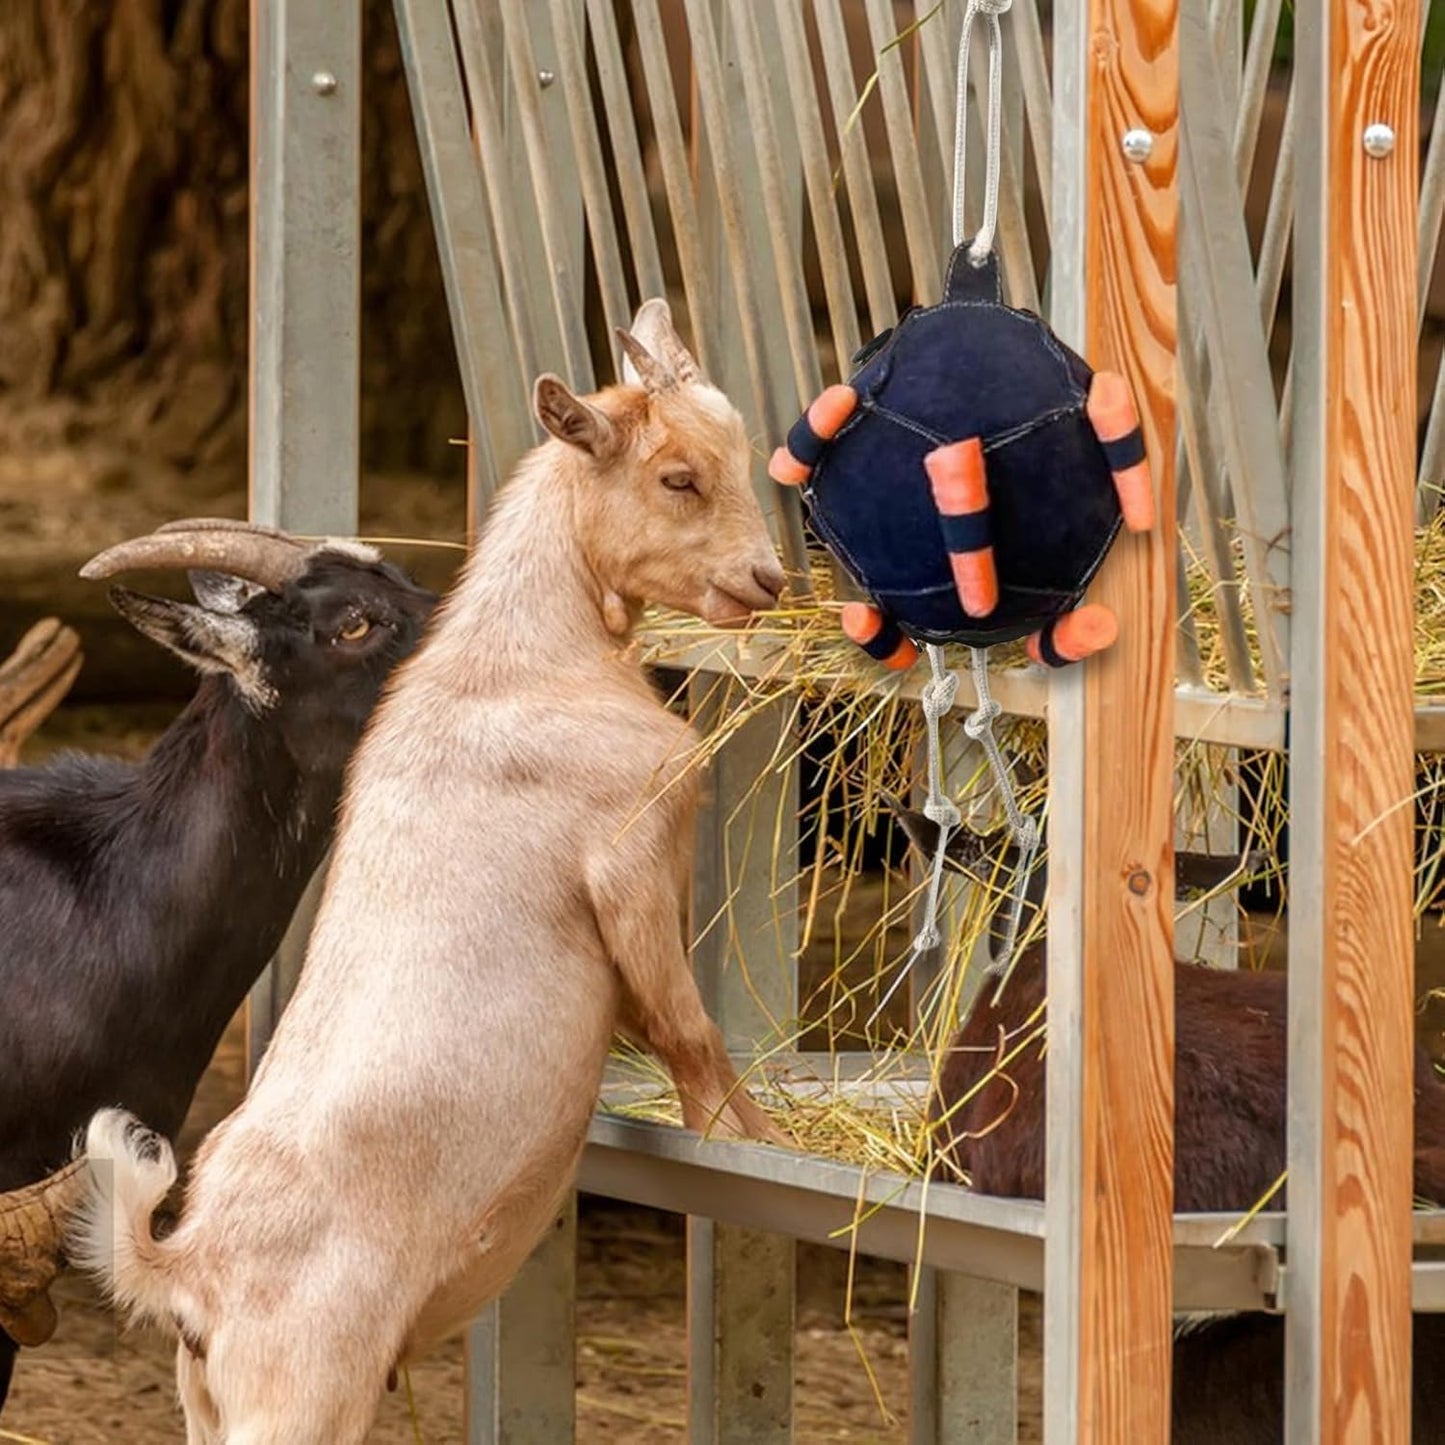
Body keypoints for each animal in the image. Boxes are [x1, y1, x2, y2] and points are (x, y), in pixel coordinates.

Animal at [73, 300, 789, 1445]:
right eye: (676, 476)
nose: (762, 581)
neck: (524, 660)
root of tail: (185, 1267)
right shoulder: (628, 857)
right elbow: (689, 1031)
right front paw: (754, 1136)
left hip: (212, 1409)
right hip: (301, 1398)